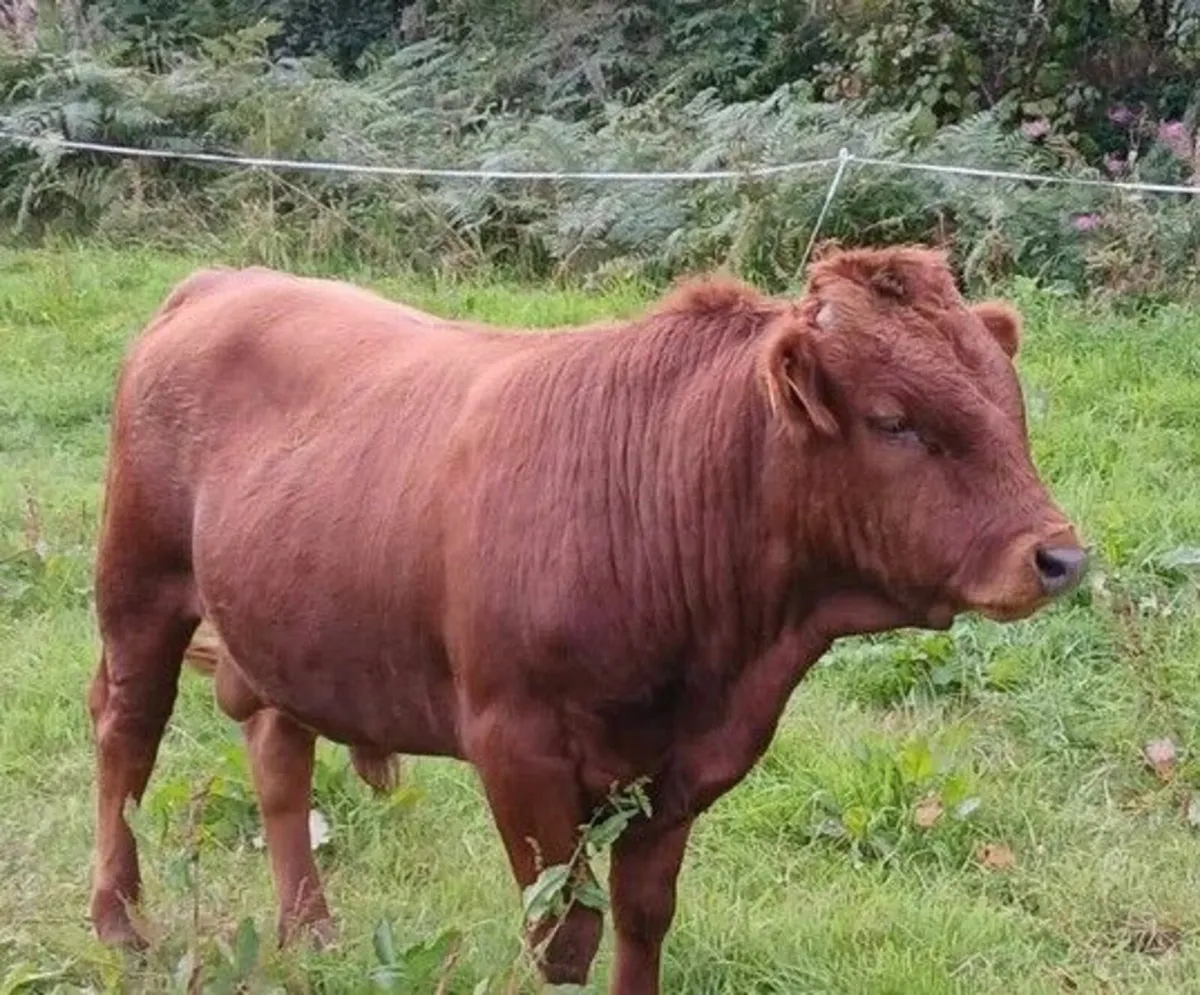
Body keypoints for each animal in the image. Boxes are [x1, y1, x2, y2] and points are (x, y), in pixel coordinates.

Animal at [87, 246, 1086, 994]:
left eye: (1012, 405)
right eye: (893, 421)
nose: (1059, 556)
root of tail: (220, 280)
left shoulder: (683, 768)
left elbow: (643, 919)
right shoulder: (516, 751)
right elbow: (564, 937)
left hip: (288, 623)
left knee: (279, 757)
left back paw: (311, 928)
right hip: (138, 590)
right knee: (124, 741)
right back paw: (119, 923)